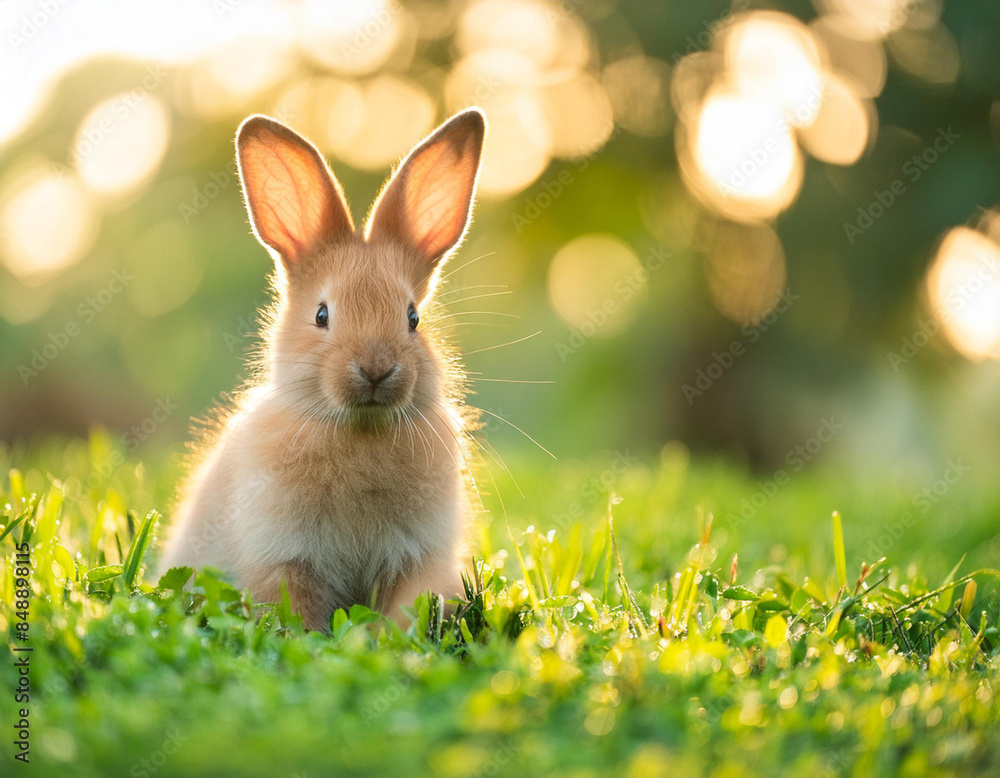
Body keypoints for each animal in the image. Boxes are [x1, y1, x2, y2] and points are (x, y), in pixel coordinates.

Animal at [160, 108, 487, 630]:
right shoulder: (284, 558)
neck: (361, 429)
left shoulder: (417, 561)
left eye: (413, 318)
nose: (375, 369)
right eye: (321, 315)